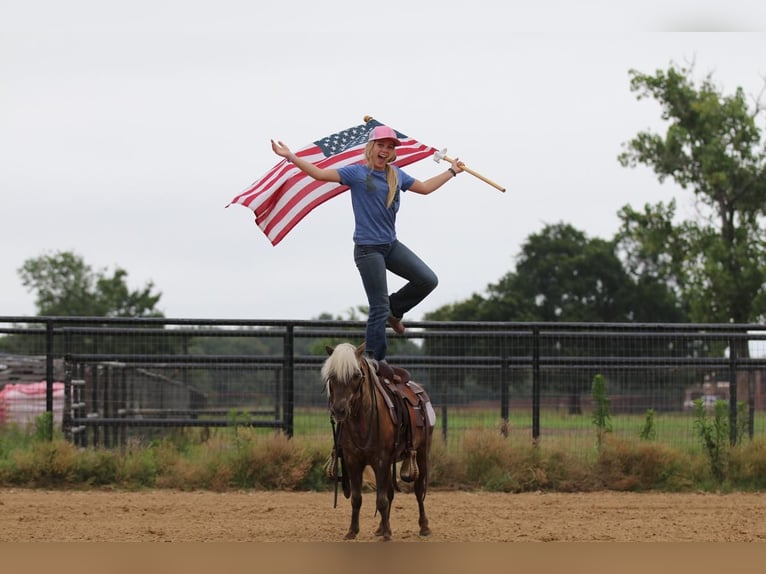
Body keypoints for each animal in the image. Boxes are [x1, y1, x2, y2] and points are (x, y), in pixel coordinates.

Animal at [320, 344, 436, 544]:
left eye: (356, 375)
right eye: (331, 375)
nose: (339, 410)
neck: (363, 419)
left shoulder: (380, 460)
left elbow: (381, 499)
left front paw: (388, 535)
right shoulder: (353, 461)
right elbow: (357, 498)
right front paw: (352, 531)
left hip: (422, 452)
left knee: (418, 489)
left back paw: (424, 527)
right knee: (390, 492)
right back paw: (381, 527)